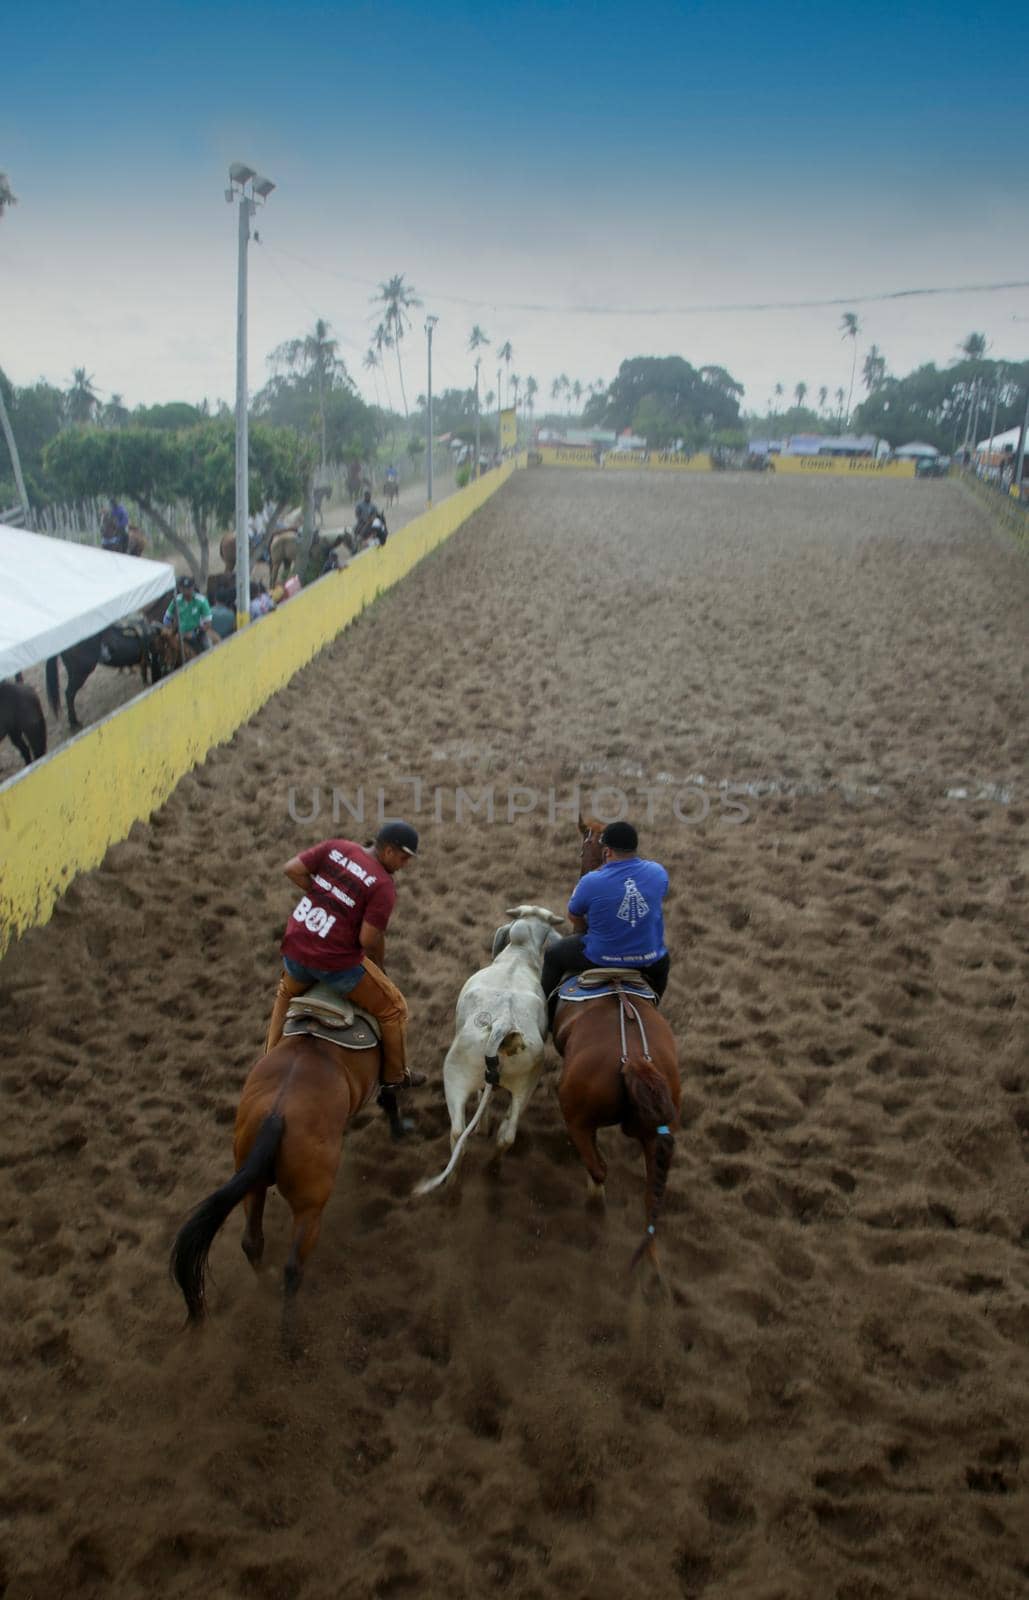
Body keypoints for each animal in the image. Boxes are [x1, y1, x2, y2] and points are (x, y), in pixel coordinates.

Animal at [171, 1030, 408, 1318]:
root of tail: (276, 1115)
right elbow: (390, 1092)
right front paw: (398, 1127)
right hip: (310, 1207)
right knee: (293, 1267)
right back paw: (290, 1325)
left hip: (253, 1185)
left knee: (252, 1242)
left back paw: (265, 1289)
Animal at [416, 908, 566, 1196]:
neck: (518, 956)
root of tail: (503, 1025)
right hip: (525, 1084)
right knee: (506, 1135)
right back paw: (492, 1169)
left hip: (455, 1074)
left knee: (458, 1132)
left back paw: (454, 1183)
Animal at [550, 819, 681, 1267]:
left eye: (582, 847)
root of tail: (634, 1060)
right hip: (655, 1134)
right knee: (651, 1195)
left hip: (577, 1118)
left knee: (599, 1170)